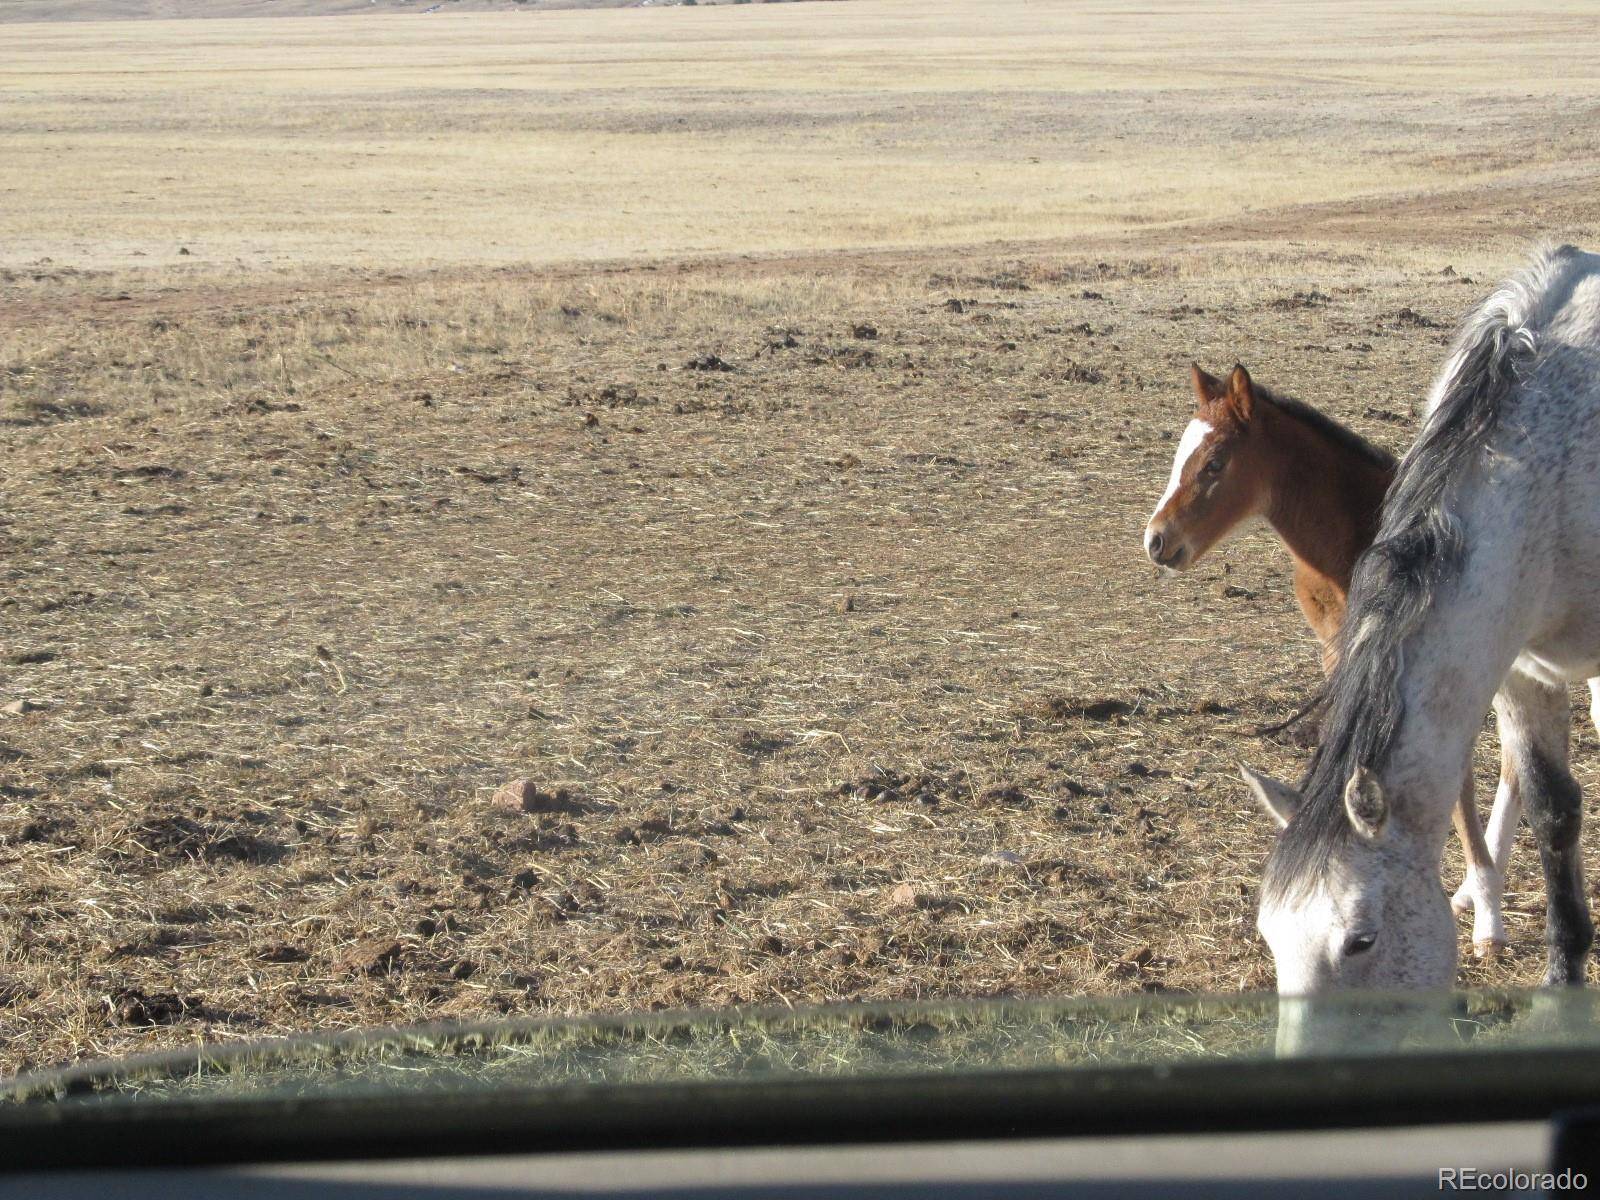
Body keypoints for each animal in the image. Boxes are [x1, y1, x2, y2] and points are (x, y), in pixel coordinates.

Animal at [1145, 366, 1516, 960]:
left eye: (1215, 463)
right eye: (1181, 454)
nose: (1156, 541)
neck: (1355, 532)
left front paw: (1488, 923)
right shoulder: (1340, 656)